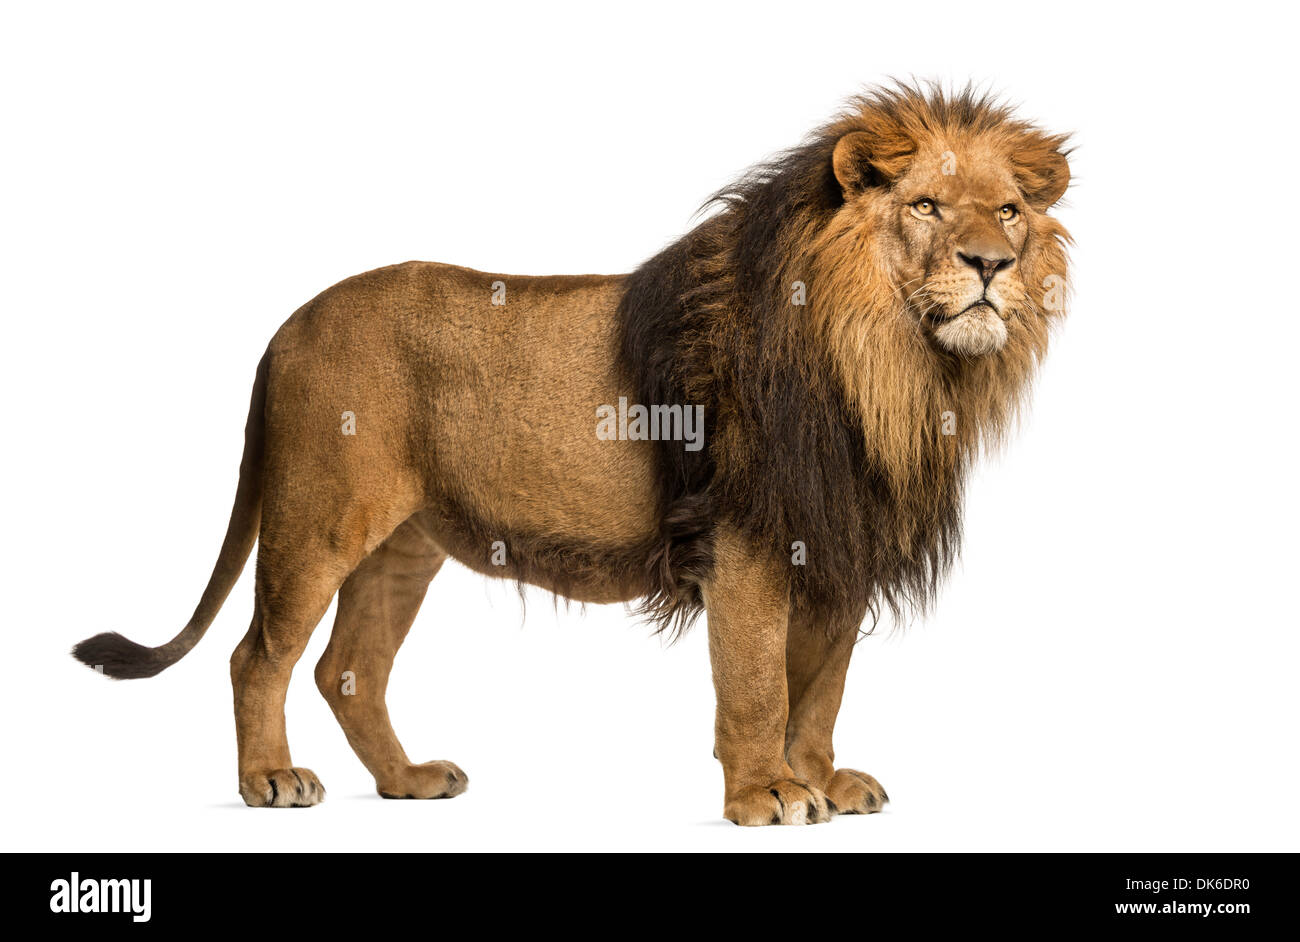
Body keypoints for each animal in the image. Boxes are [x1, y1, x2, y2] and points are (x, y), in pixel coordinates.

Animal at [73, 83, 1071, 825]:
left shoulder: (838, 541)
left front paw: (819, 780)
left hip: (406, 545)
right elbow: (756, 681)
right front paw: (769, 794)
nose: (991, 265)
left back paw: (407, 782)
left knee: (346, 670)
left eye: (1010, 211)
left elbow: (819, 688)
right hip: (315, 518)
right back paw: (269, 782)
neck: (894, 368)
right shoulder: (744, 538)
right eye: (927, 206)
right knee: (258, 656)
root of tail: (286, 326)